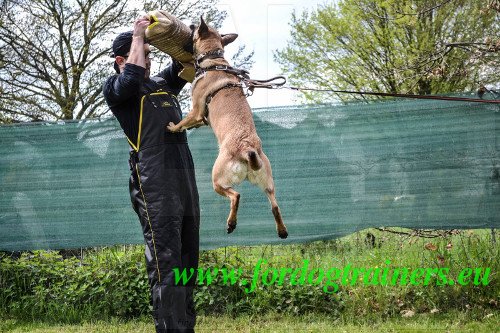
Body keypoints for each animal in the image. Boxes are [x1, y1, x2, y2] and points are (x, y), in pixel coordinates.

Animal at [166, 16, 288, 237]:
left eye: (194, 28)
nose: (190, 25)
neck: (214, 61)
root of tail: (247, 148)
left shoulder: (196, 110)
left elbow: (183, 121)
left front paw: (173, 127)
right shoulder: (200, 117)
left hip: (217, 180)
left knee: (236, 195)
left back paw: (231, 223)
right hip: (267, 183)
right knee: (274, 205)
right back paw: (282, 231)